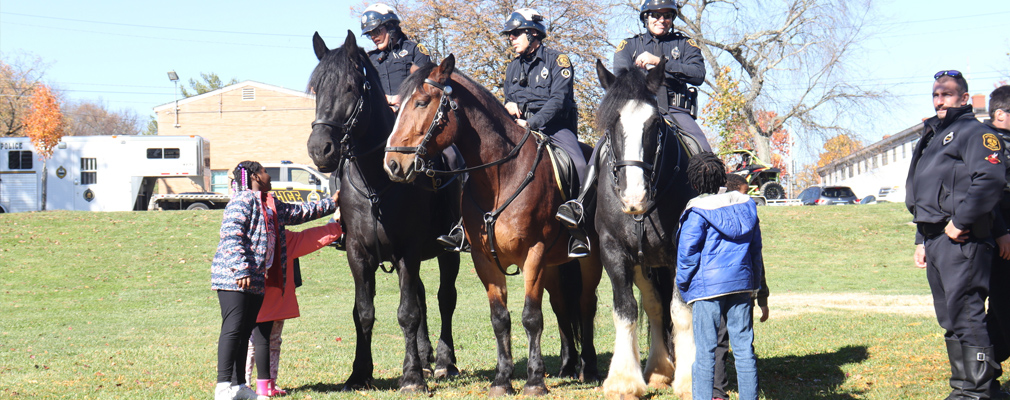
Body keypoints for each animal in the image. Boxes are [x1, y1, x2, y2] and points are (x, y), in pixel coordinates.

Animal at [303, 31, 462, 393]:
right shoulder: (358, 254)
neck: (377, 182)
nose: (320, 149)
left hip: (448, 252)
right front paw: (359, 373)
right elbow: (363, 312)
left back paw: (444, 361)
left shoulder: (408, 251)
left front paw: (412, 376)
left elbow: (407, 313)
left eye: (350, 86)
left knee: (445, 298)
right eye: (316, 87)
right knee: (422, 297)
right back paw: (426, 354)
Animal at [379, 54, 597, 395]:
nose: (392, 165)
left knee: (587, 306)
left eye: (422, 102)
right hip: (554, 266)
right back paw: (568, 365)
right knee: (563, 306)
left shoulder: (533, 254)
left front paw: (534, 381)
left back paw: (588, 367)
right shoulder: (485, 260)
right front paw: (502, 379)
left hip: (589, 259)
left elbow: (531, 317)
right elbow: (500, 319)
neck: (500, 176)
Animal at [593, 57, 698, 397]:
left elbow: (681, 311)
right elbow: (626, 310)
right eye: (612, 124)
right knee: (653, 306)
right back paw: (659, 369)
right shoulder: (613, 252)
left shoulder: (682, 252)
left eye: (654, 124)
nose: (634, 197)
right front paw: (624, 380)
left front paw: (690, 378)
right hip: (645, 264)